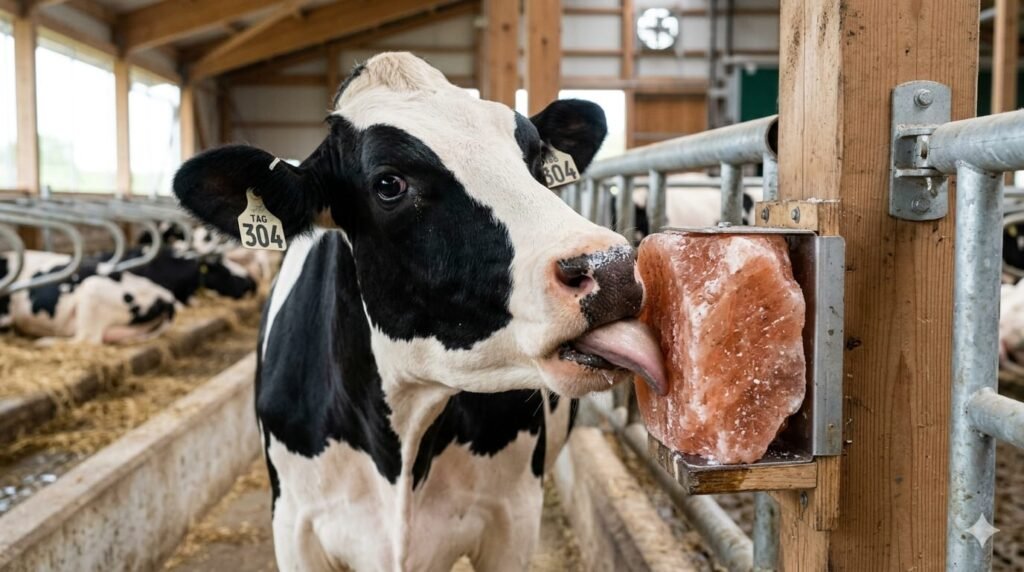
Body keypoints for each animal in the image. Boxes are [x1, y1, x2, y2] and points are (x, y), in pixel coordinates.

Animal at [172, 53, 667, 571]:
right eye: (389, 183)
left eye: (532, 161)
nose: (612, 267)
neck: (402, 438)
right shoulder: (294, 527)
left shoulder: (513, 517)